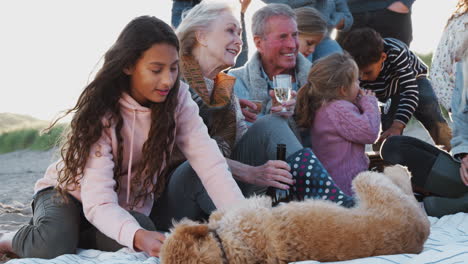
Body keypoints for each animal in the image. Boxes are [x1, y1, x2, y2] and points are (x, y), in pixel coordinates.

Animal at [159, 166, 430, 262]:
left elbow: (218, 214)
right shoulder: (253, 207)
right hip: (367, 180)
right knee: (402, 184)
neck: (225, 249)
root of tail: (419, 235)